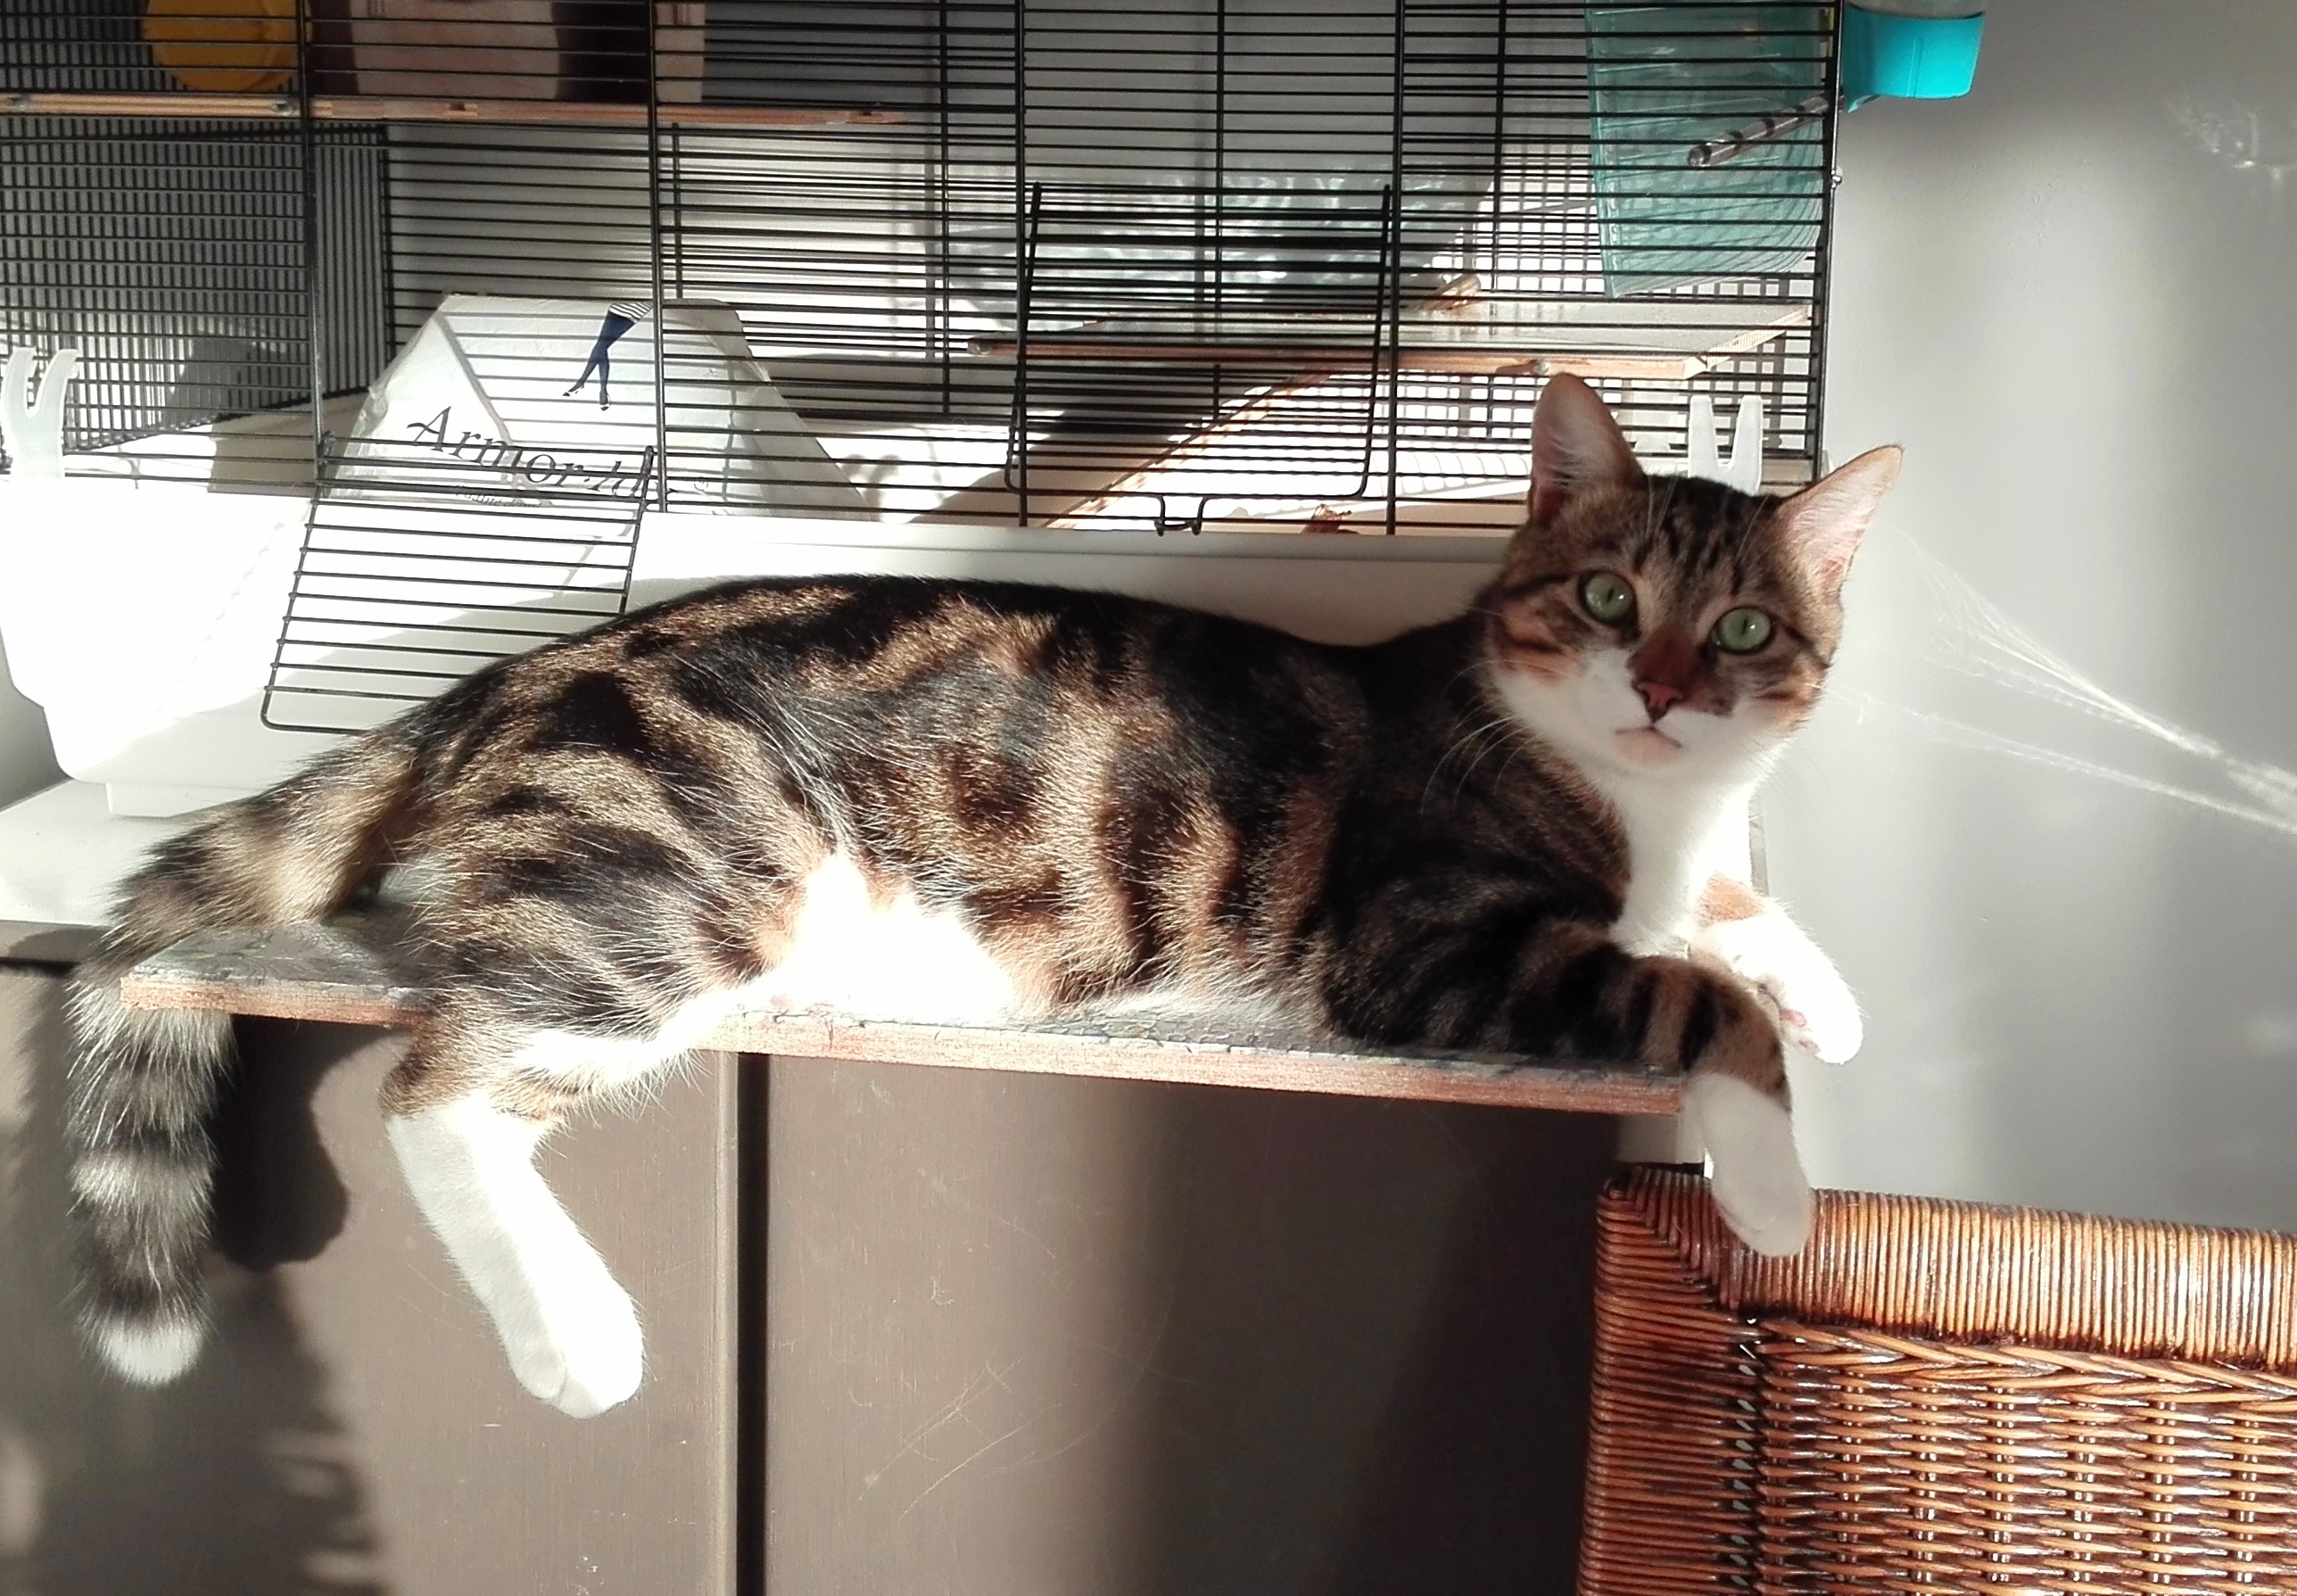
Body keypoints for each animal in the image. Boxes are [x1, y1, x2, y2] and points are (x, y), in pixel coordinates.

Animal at [65, 374, 1899, 1416]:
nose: (1658, 688)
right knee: (437, 1085)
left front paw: (1824, 985)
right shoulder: (1428, 944)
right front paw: (1779, 1185)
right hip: (688, 883)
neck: (1642, 800)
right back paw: (576, 1338)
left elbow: (1726, 920)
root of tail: (496, 684)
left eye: (1742, 628)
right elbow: (1680, 989)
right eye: (1605, 598)